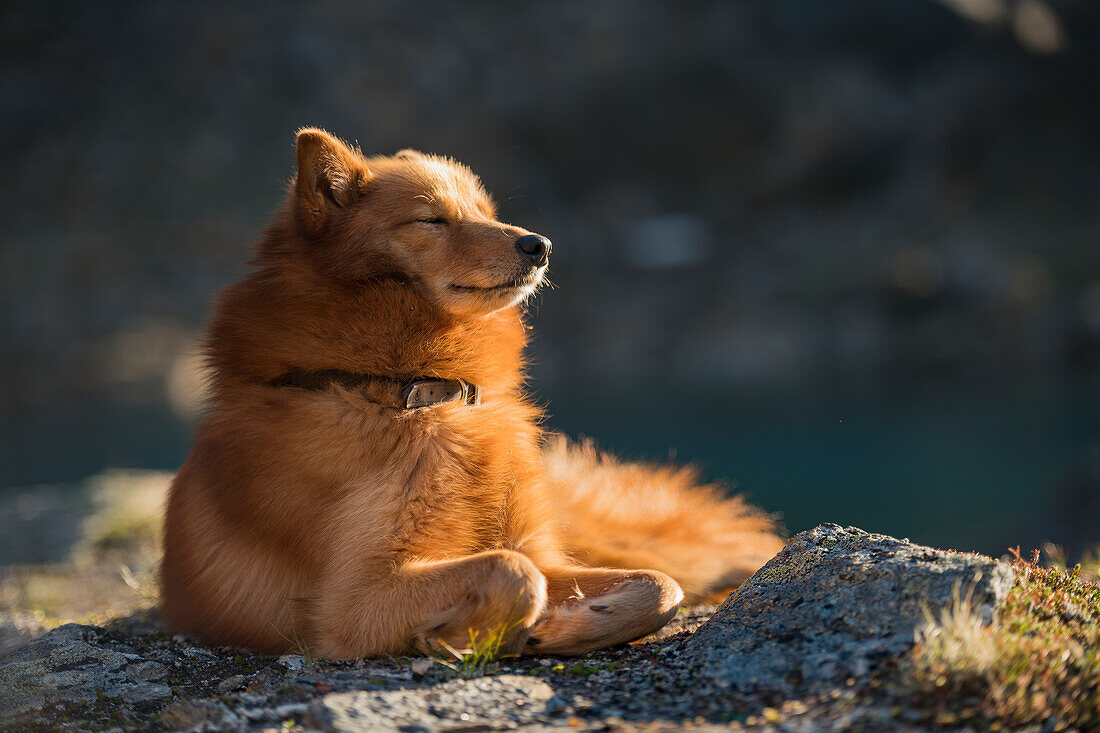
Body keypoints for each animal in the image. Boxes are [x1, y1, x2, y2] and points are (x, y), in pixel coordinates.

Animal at [160, 127, 783, 655]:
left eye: (486, 214)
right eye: (432, 219)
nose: (539, 244)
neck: (418, 394)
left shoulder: (539, 545)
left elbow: (657, 585)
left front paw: (567, 626)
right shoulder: (350, 605)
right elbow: (511, 572)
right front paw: (470, 634)